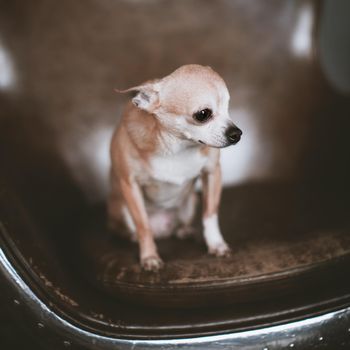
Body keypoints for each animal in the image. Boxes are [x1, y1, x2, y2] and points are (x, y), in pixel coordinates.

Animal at [108, 64, 241, 270]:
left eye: (228, 107)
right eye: (203, 114)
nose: (237, 133)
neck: (175, 146)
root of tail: (163, 231)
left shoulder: (212, 173)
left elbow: (210, 214)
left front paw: (216, 244)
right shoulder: (129, 184)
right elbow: (143, 226)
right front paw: (149, 256)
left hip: (191, 201)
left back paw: (184, 230)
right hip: (122, 208)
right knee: (137, 228)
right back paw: (134, 237)